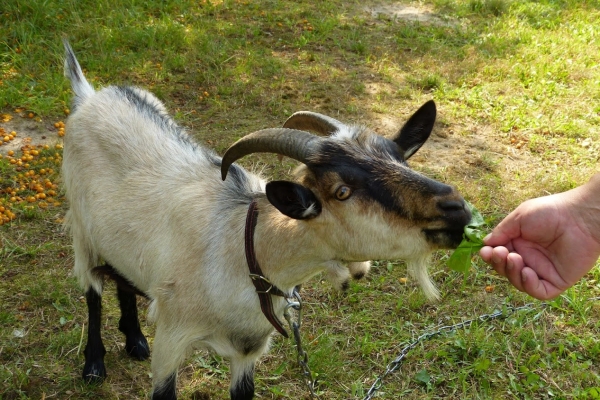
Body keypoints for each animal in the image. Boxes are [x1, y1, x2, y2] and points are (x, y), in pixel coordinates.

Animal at [62, 39, 474, 400]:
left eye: (401, 160)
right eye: (341, 191)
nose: (457, 208)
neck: (245, 252)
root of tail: (90, 94)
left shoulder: (248, 351)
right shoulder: (171, 338)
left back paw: (134, 340)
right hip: (81, 228)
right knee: (92, 288)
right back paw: (94, 365)